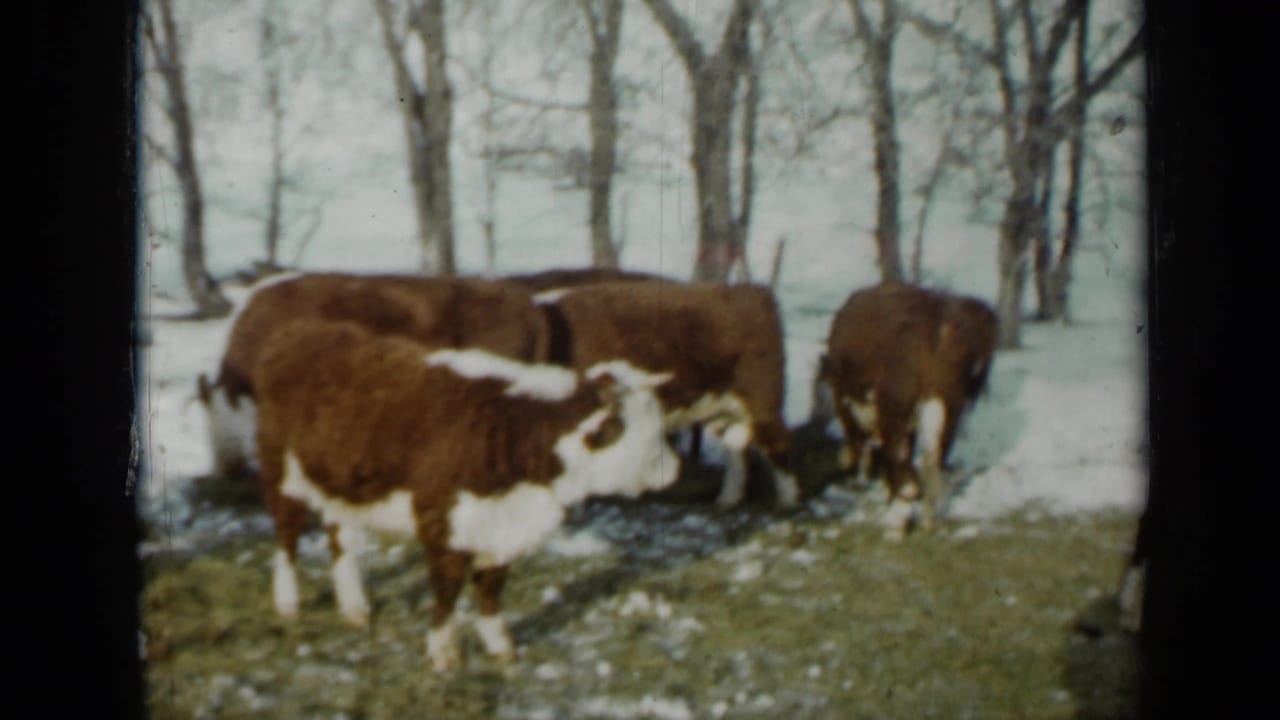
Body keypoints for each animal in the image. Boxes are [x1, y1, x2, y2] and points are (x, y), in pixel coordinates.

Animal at [253, 319, 680, 671]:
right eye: (644, 431)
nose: (675, 469)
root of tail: (300, 332)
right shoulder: (445, 526)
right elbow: (448, 590)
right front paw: (443, 652)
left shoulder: (500, 526)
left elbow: (491, 587)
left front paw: (499, 645)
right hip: (282, 474)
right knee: (287, 537)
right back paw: (288, 601)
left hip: (338, 481)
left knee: (340, 535)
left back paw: (354, 607)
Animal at [537, 280, 800, 508]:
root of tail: (754, 290)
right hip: (726, 406)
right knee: (734, 445)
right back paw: (727, 500)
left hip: (762, 398)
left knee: (778, 441)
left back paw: (788, 500)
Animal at [824, 282, 997, 540]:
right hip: (946, 406)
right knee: (934, 459)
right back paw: (928, 520)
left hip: (899, 408)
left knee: (903, 460)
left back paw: (897, 521)